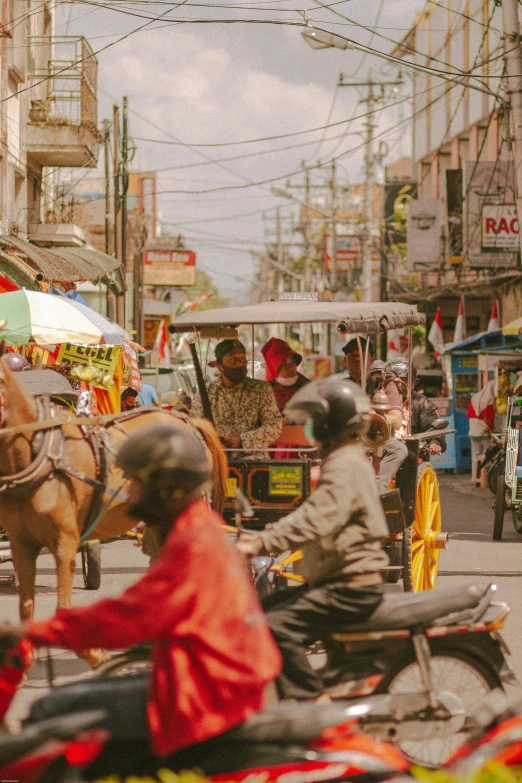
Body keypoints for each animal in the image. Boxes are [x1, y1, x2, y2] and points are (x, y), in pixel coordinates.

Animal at [0, 362, 224, 644]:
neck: (42, 452)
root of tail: (187, 421)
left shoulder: (65, 541)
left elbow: (62, 609)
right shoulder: (22, 544)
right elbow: (26, 611)